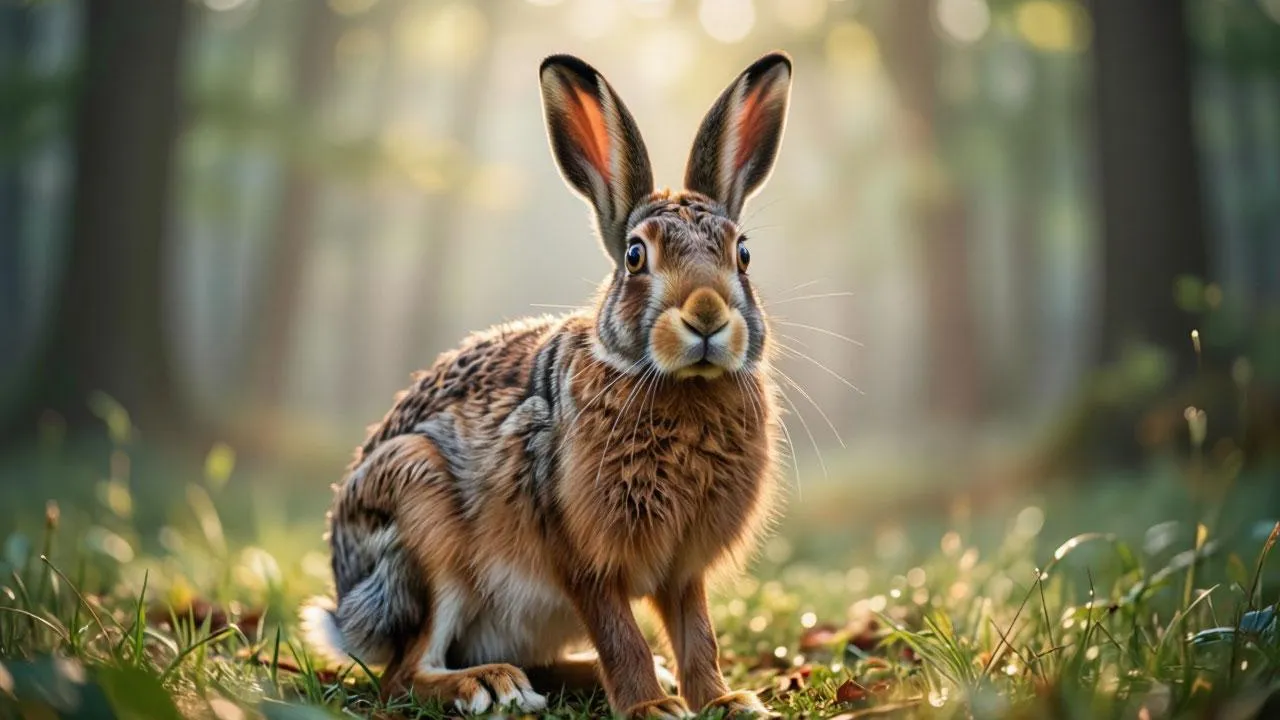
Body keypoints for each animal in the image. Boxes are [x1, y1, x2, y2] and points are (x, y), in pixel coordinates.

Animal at [300, 50, 792, 719]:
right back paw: (488, 685)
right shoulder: (581, 554)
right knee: (405, 672)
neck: (672, 382)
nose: (708, 316)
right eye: (635, 256)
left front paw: (725, 701)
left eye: (742, 254)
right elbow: (619, 632)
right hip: (424, 517)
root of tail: (347, 614)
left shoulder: (683, 567)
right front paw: (650, 708)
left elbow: (698, 633)